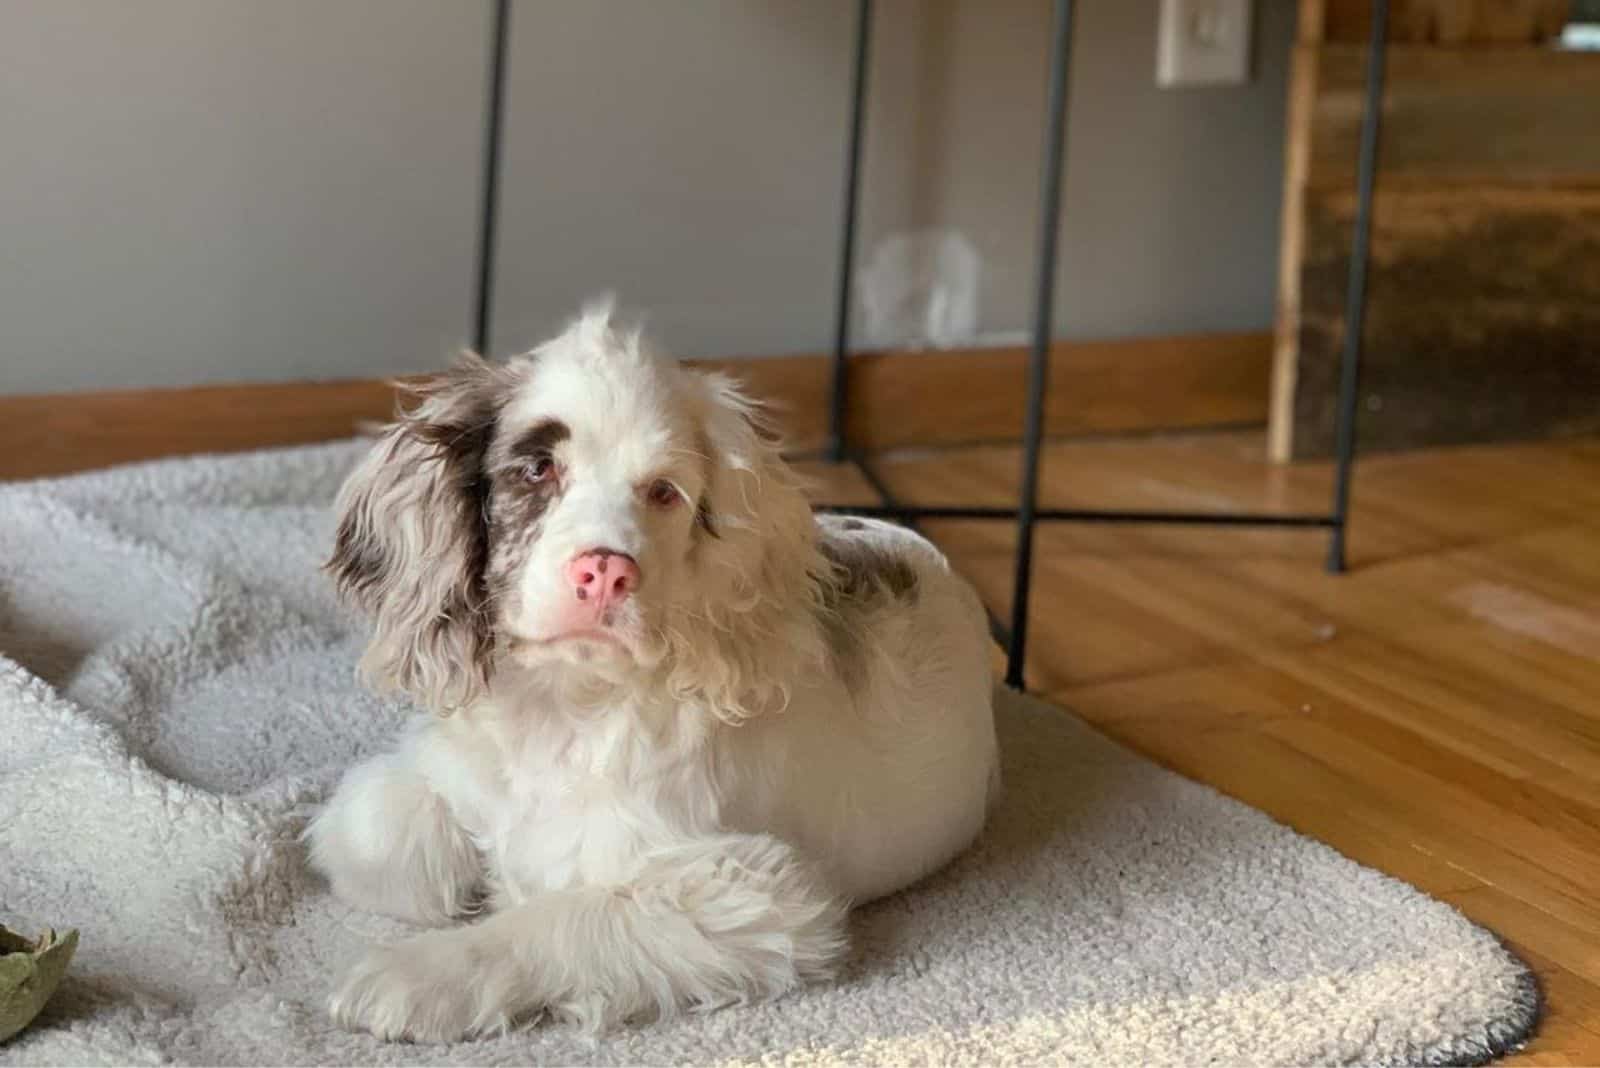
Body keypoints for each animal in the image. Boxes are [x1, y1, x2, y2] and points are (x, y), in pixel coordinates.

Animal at [305, 300, 992, 1042]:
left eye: (664, 492)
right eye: (537, 470)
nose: (606, 572)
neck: (566, 707)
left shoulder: (759, 896)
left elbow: (571, 915)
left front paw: (422, 973)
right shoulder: (440, 770)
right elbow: (367, 832)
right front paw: (468, 883)